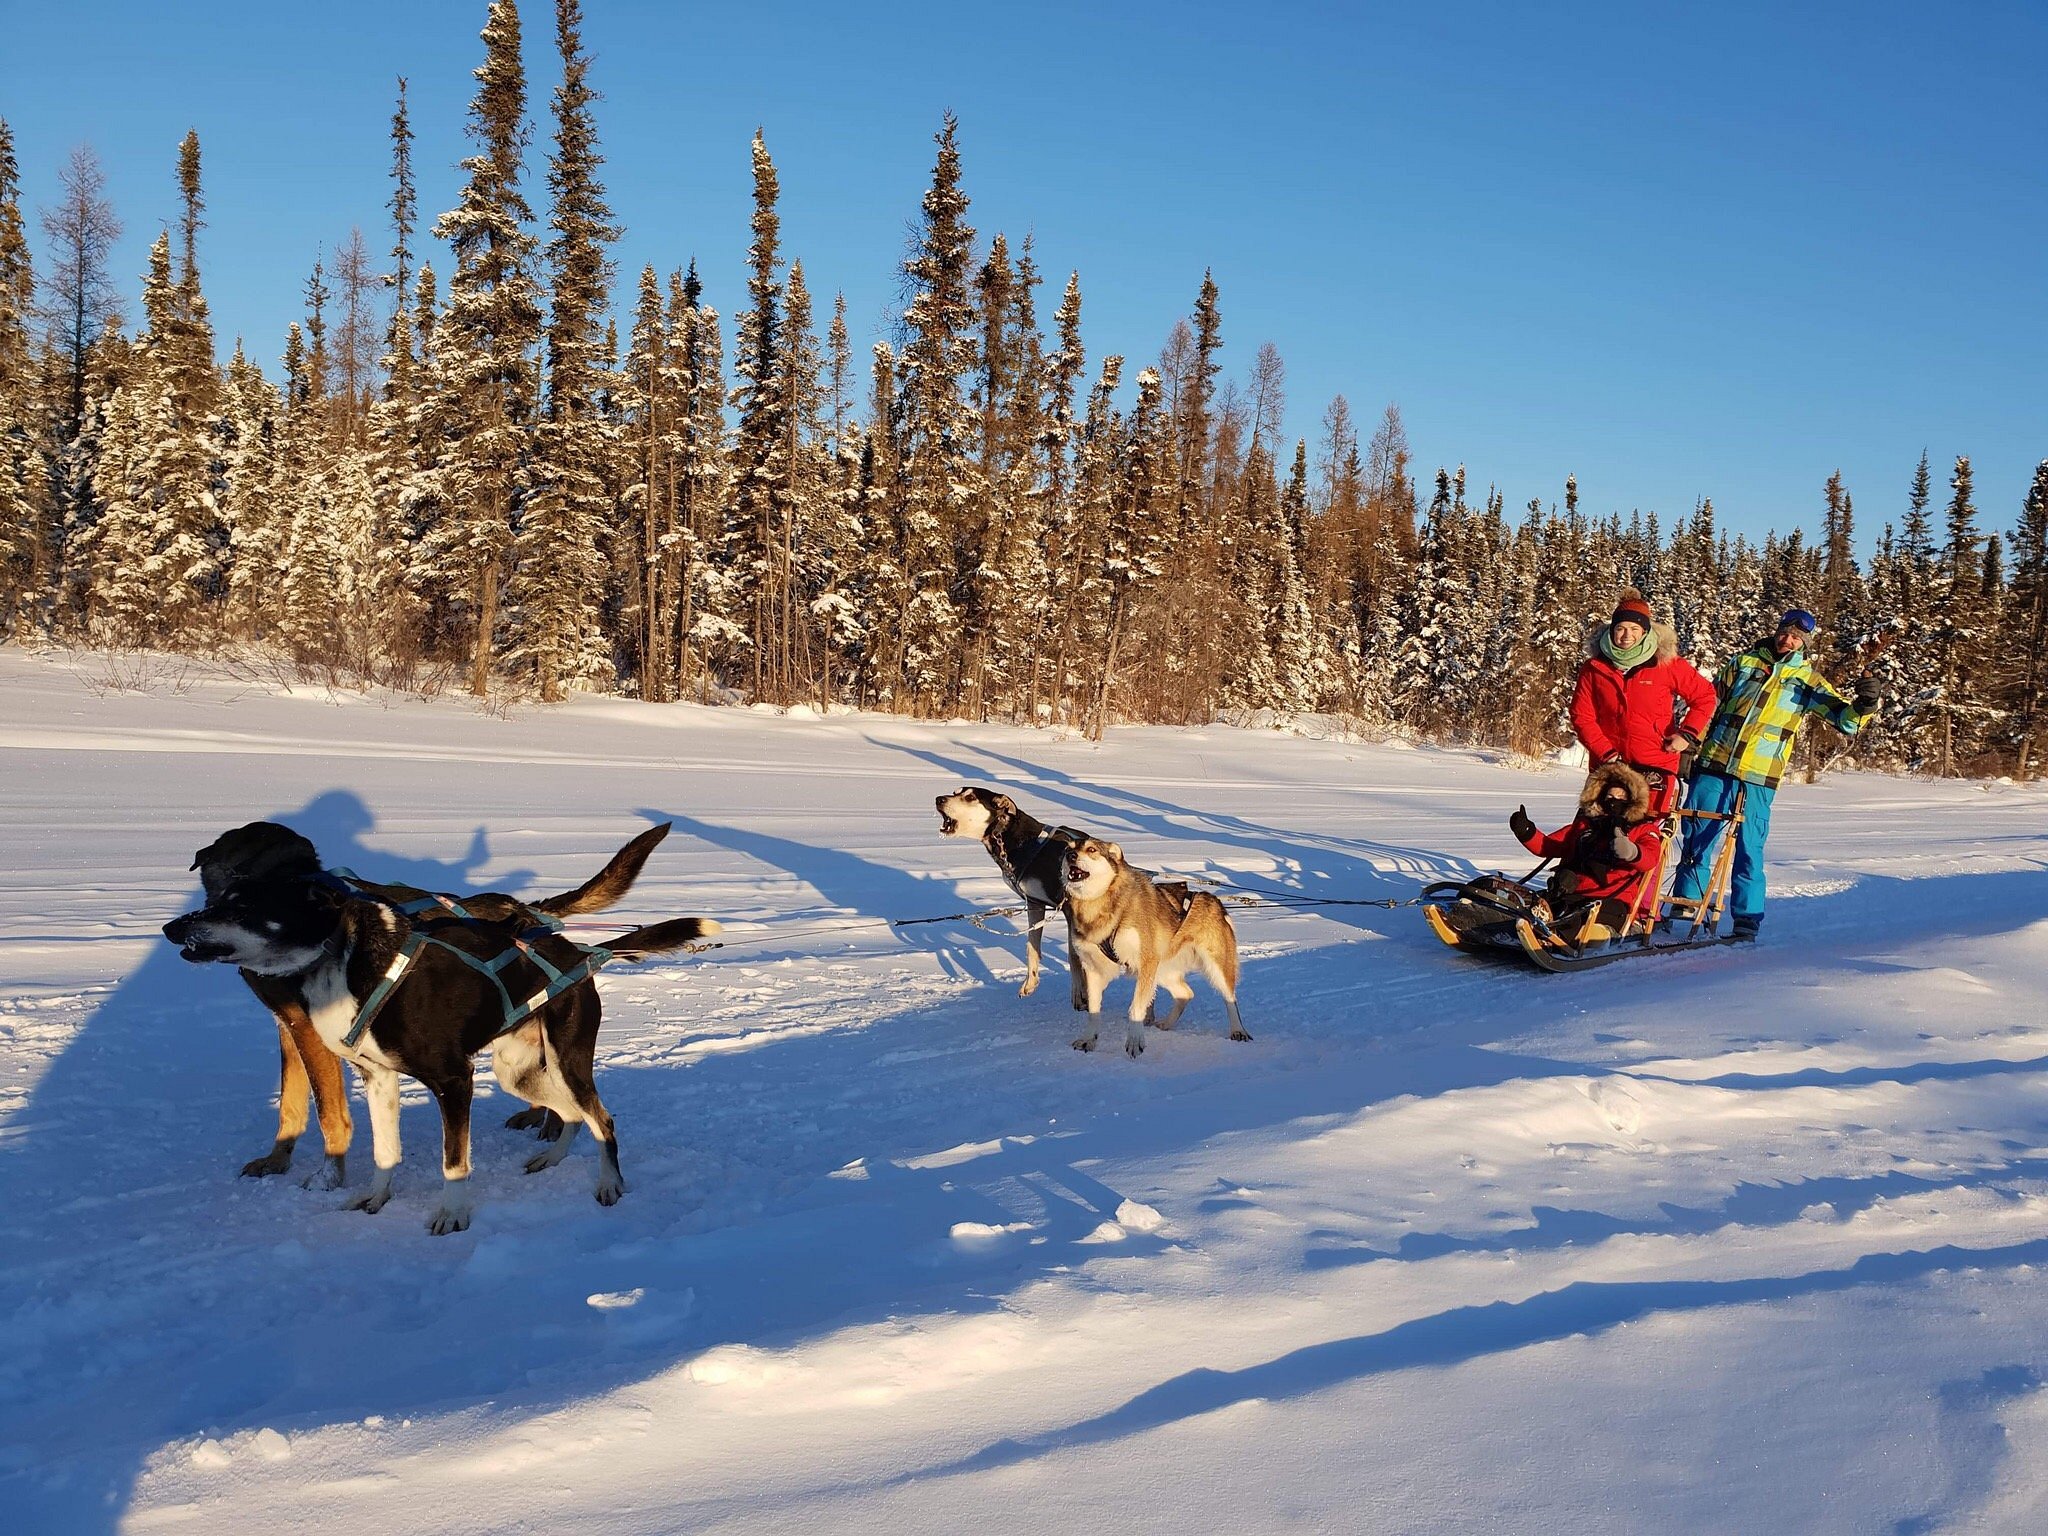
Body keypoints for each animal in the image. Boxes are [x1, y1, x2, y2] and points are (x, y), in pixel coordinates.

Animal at [165, 823, 720, 1236]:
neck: (342, 959)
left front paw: (452, 1215)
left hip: (565, 1060)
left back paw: (608, 1185)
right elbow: (384, 1150)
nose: (173, 928)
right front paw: (375, 1198)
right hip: (517, 1072)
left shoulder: (455, 1080)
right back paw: (551, 1159)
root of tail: (576, 952)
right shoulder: (378, 1078)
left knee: (603, 1118)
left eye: (243, 906)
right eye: (218, 896)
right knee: (571, 1115)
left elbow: (454, 1160)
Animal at [933, 794, 1089, 1011]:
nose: (939, 799)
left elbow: (1073, 955)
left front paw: (1079, 993)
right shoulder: (1035, 904)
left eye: (970, 796)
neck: (1028, 845)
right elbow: (1032, 947)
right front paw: (1030, 982)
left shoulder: (1069, 908)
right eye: (955, 792)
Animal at [1064, 843, 1253, 1056]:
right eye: (1069, 848)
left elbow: (1136, 1007)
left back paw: (1238, 1031)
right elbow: (1094, 1011)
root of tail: (1215, 901)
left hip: (1216, 968)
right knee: (1186, 993)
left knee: (1230, 1000)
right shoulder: (1094, 969)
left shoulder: (1145, 962)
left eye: (1091, 849)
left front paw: (1135, 1040)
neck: (1099, 906)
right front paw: (1088, 1039)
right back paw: (1167, 1024)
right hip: (1162, 971)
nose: (1070, 855)